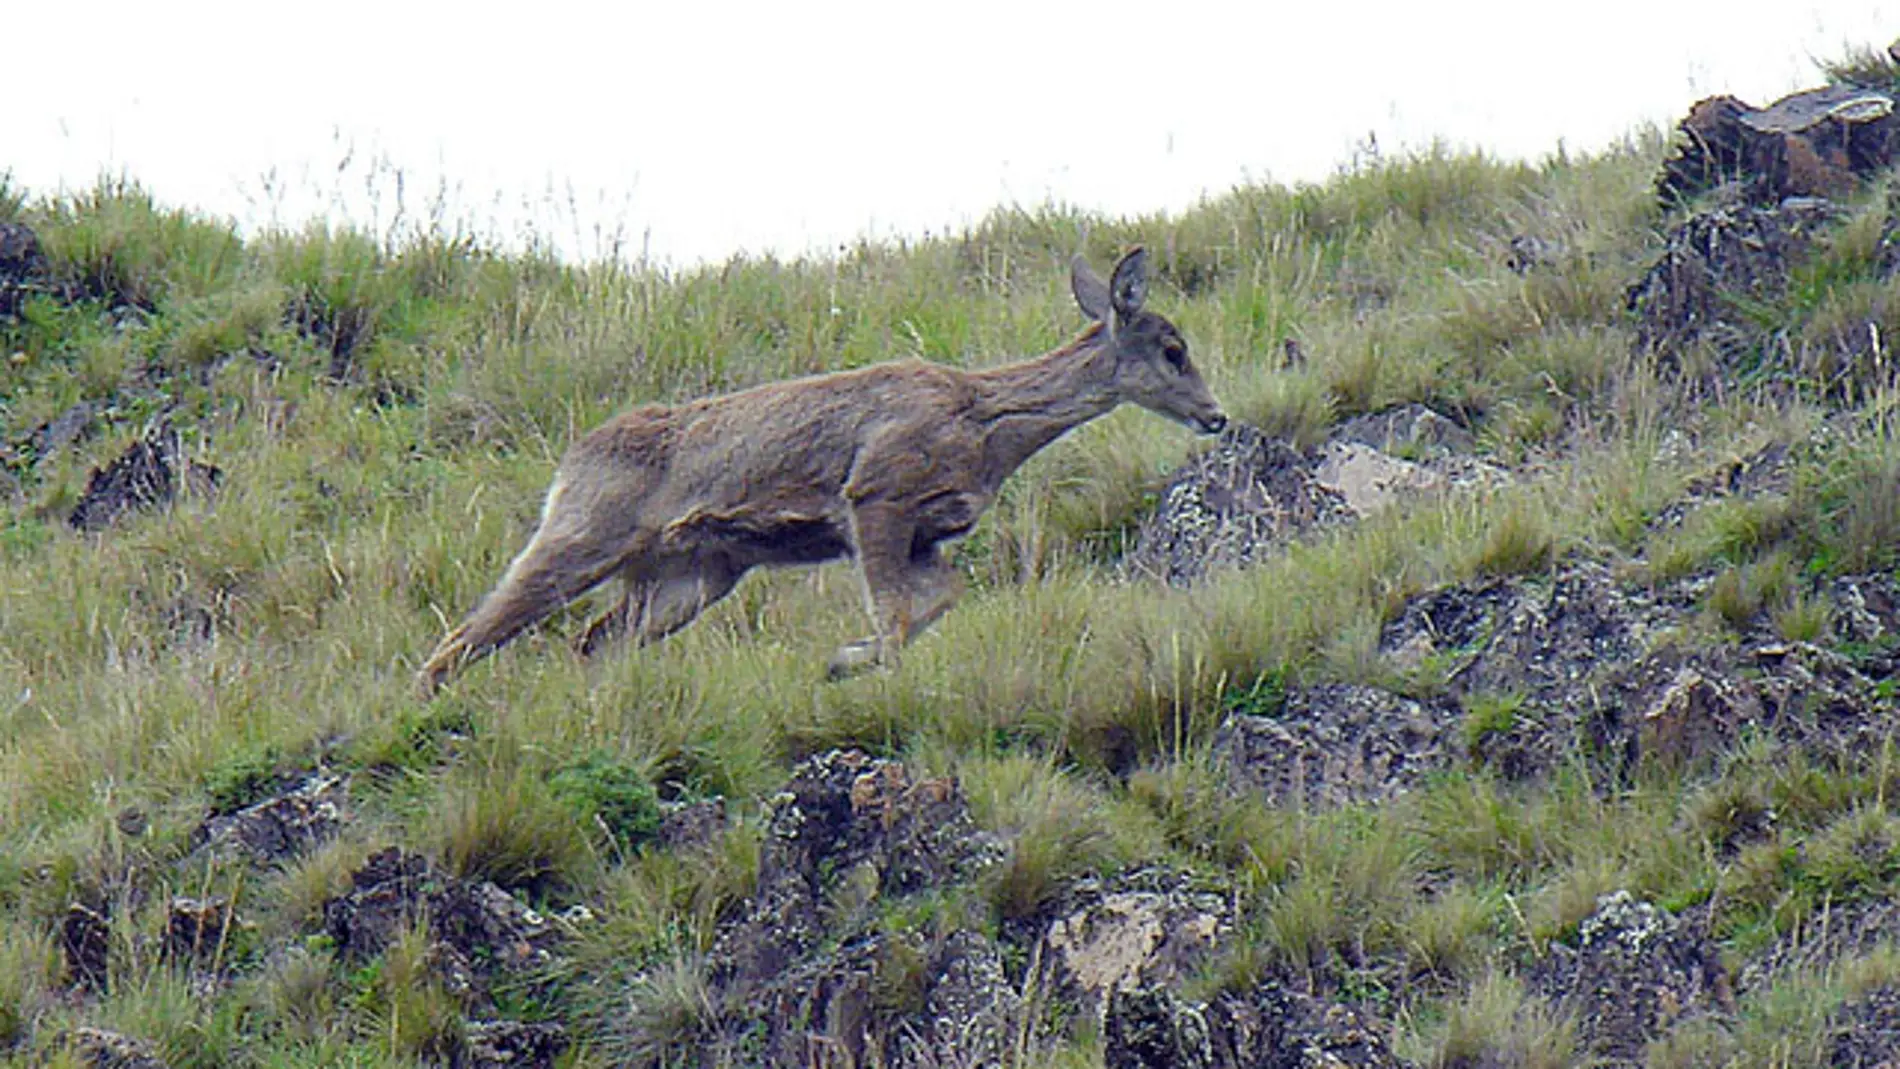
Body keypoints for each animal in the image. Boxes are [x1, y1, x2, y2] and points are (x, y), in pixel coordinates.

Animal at [412, 248, 1231, 702]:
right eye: (1172, 348)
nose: (1217, 415)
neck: (982, 422)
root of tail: (570, 460)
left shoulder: (928, 533)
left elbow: (941, 600)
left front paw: (844, 660)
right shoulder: (876, 493)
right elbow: (896, 619)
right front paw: (854, 664)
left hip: (692, 574)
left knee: (595, 640)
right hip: (584, 533)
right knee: (467, 633)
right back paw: (421, 709)